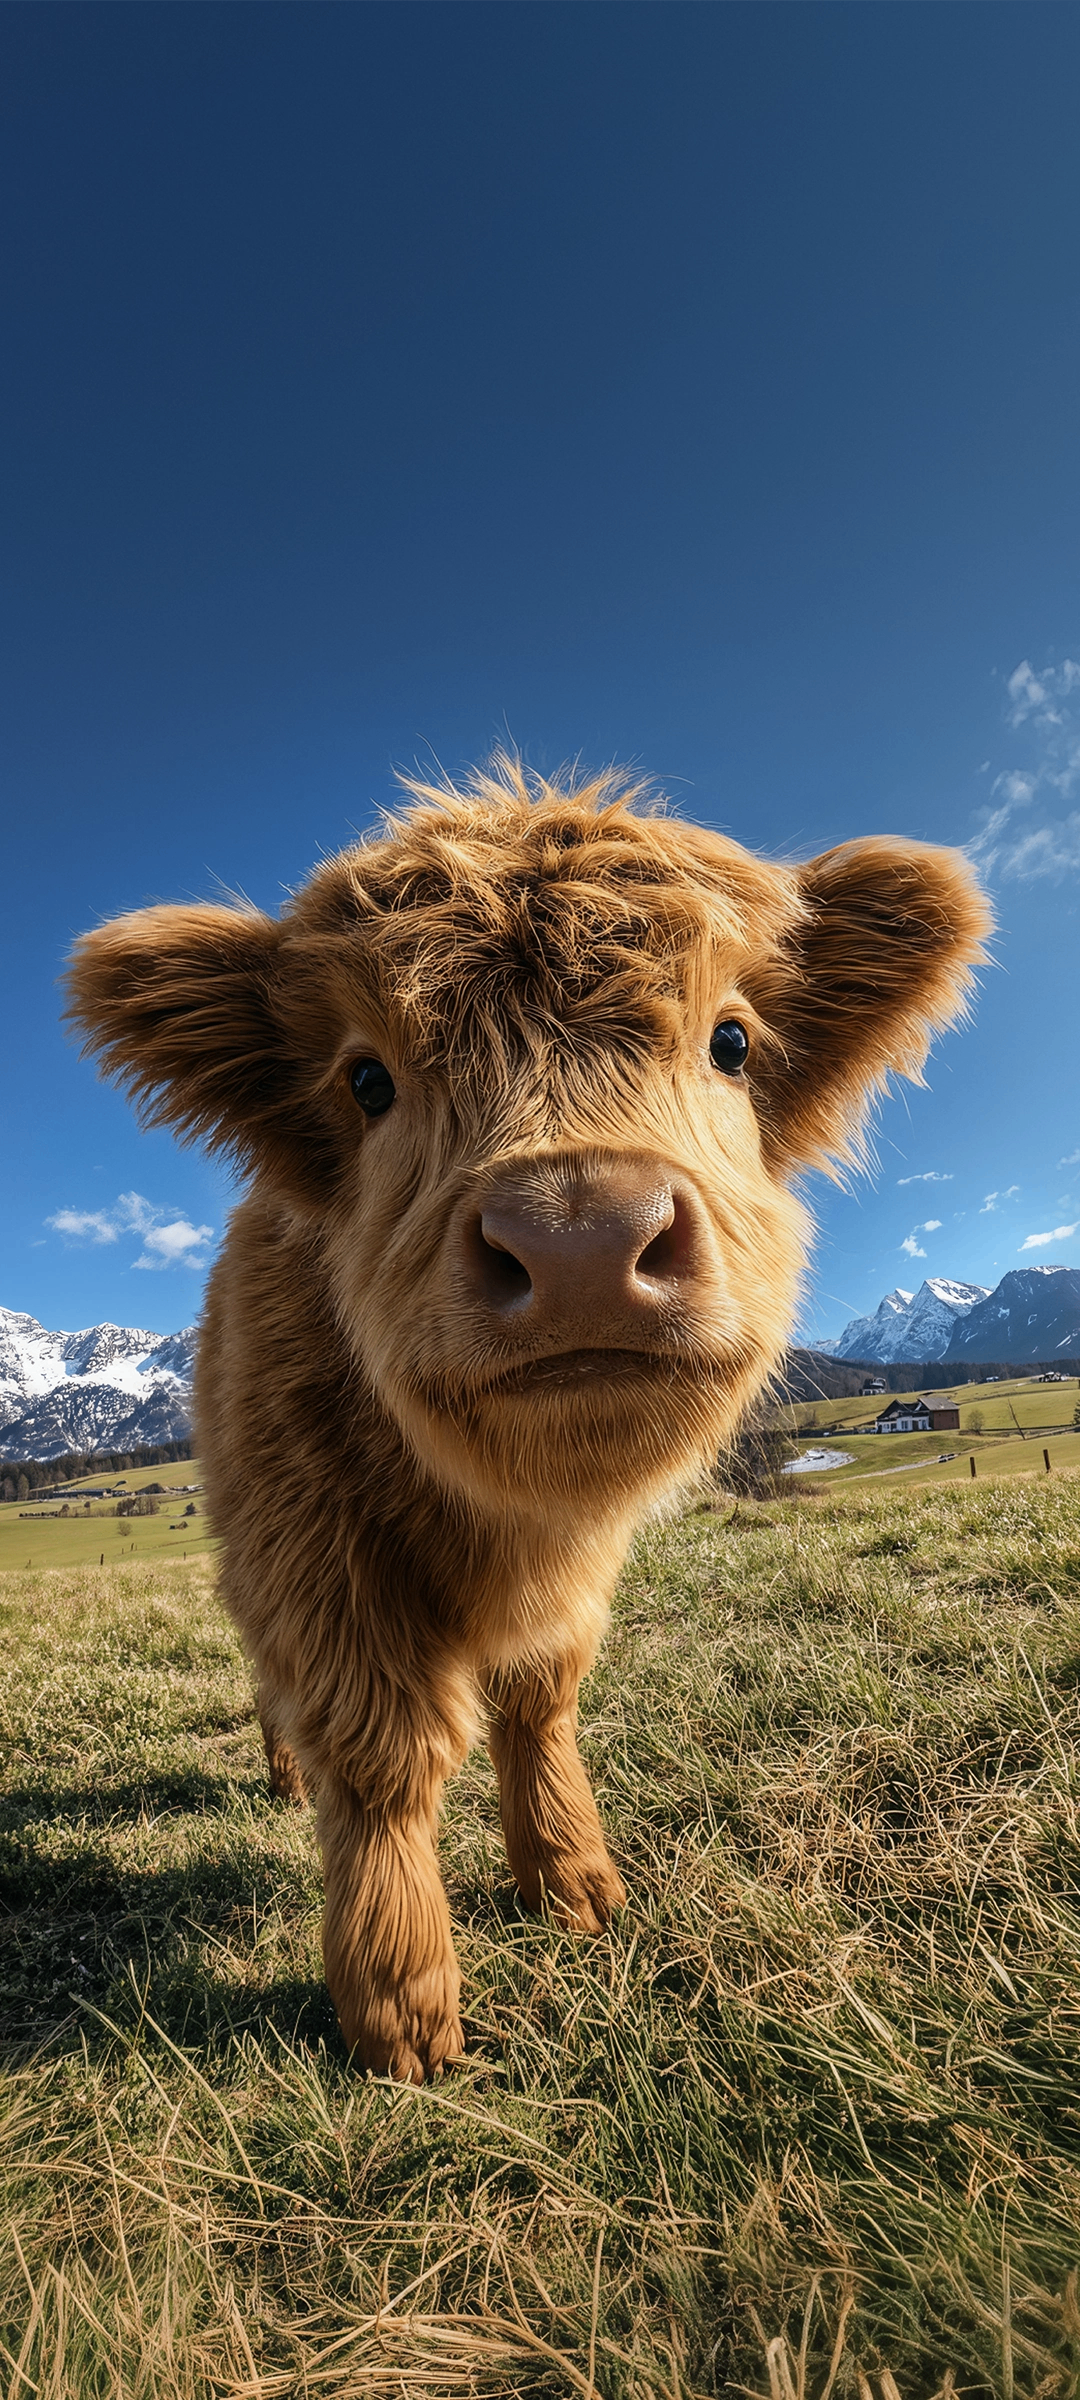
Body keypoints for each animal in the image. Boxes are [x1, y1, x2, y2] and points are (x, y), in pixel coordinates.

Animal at [66, 757, 990, 2080]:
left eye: (730, 1040)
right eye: (367, 1078)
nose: (581, 1240)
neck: (505, 1521)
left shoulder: (575, 1576)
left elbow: (538, 1698)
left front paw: (569, 1879)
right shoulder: (315, 1547)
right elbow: (383, 1757)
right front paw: (401, 2008)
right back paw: (287, 1773)